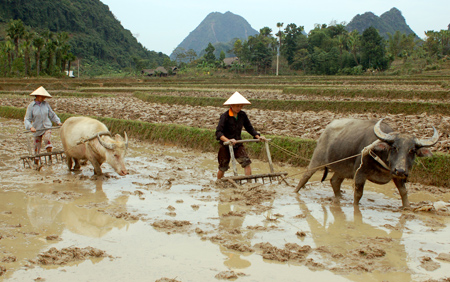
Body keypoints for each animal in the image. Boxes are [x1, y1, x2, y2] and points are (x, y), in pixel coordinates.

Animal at [296, 118, 440, 208]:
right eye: (394, 147)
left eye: (412, 150)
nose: (400, 170)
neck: (381, 155)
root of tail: (326, 130)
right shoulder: (360, 173)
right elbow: (358, 194)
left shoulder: (397, 176)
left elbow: (403, 192)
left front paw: (407, 208)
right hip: (317, 159)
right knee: (305, 176)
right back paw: (295, 192)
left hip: (343, 169)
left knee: (335, 181)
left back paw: (339, 198)